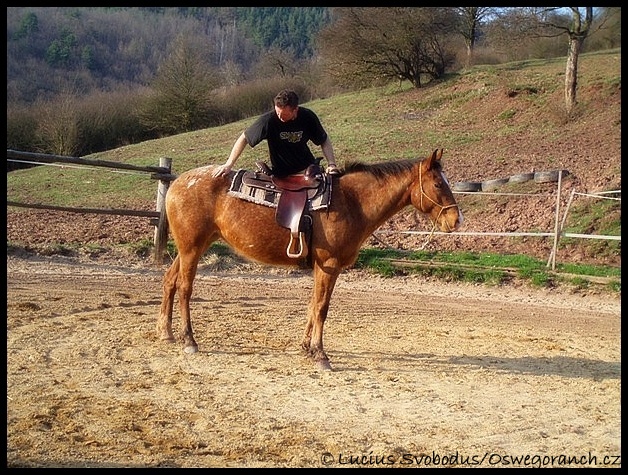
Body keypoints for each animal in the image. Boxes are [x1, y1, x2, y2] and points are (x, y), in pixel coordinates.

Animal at [157, 149, 462, 372]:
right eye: (438, 183)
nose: (456, 220)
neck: (351, 201)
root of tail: (178, 183)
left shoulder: (319, 267)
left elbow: (313, 305)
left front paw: (306, 348)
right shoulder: (329, 265)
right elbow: (322, 308)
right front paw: (320, 355)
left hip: (192, 247)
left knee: (169, 280)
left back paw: (166, 332)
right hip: (192, 248)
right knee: (185, 288)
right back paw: (188, 339)